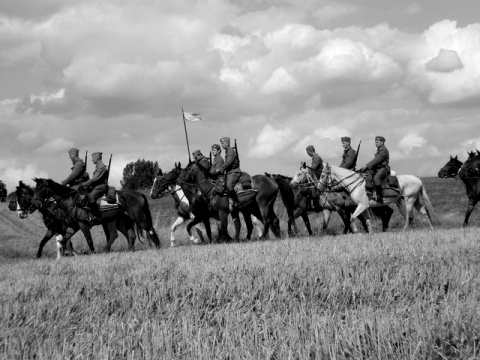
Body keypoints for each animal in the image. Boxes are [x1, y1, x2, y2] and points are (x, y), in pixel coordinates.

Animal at [31, 176, 161, 250]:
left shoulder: (83, 224)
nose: (35, 202)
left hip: (137, 218)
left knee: (149, 229)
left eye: (40, 187)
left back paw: (158, 247)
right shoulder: (74, 226)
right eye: (34, 188)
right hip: (116, 220)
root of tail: (139, 194)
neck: (72, 201)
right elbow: (64, 240)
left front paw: (92, 252)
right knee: (128, 235)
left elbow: (89, 240)